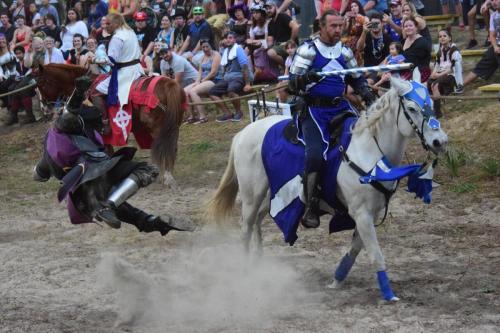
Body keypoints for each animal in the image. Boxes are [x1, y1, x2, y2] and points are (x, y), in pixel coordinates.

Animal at [35, 63, 187, 176]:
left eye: (41, 84)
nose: (44, 107)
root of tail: (169, 84)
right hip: (173, 126)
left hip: (158, 128)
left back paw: (166, 176)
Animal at [207, 78, 450, 300]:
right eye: (412, 108)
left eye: (430, 102)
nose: (440, 141)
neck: (369, 150)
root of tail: (243, 133)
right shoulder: (361, 213)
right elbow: (375, 254)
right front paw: (388, 294)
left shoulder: (370, 214)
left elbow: (355, 249)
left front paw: (337, 279)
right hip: (252, 194)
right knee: (246, 228)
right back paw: (245, 271)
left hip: (271, 195)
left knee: (257, 221)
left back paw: (257, 264)